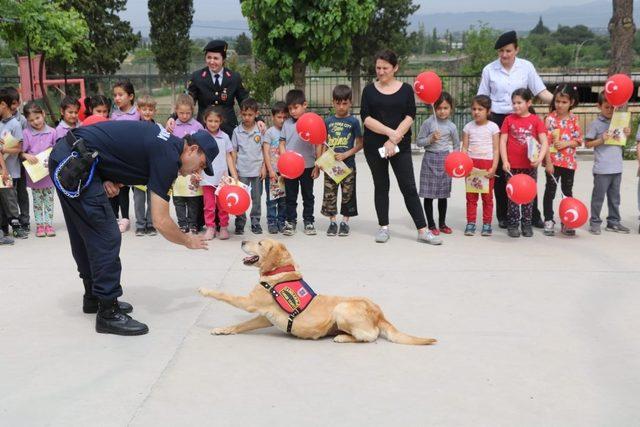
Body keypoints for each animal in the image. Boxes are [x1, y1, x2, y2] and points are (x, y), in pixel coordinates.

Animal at [198, 239, 438, 346]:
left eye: (259, 243)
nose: (242, 240)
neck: (280, 271)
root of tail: (380, 313)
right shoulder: (264, 317)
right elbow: (241, 325)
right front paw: (222, 329)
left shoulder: (249, 302)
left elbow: (224, 294)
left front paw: (206, 289)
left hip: (342, 308)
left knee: (369, 336)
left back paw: (342, 337)